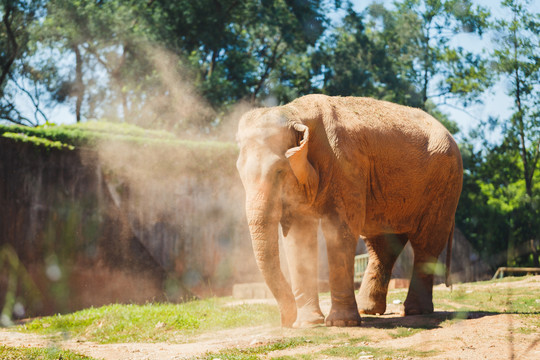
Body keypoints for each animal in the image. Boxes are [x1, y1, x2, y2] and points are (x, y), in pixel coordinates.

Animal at [236, 94, 464, 328]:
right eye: (240, 174)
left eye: (280, 171)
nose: (286, 321)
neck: (296, 112)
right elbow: (299, 238)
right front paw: (308, 324)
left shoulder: (347, 166)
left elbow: (340, 230)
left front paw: (340, 323)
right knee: (383, 245)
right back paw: (369, 310)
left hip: (445, 183)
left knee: (426, 242)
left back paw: (414, 311)